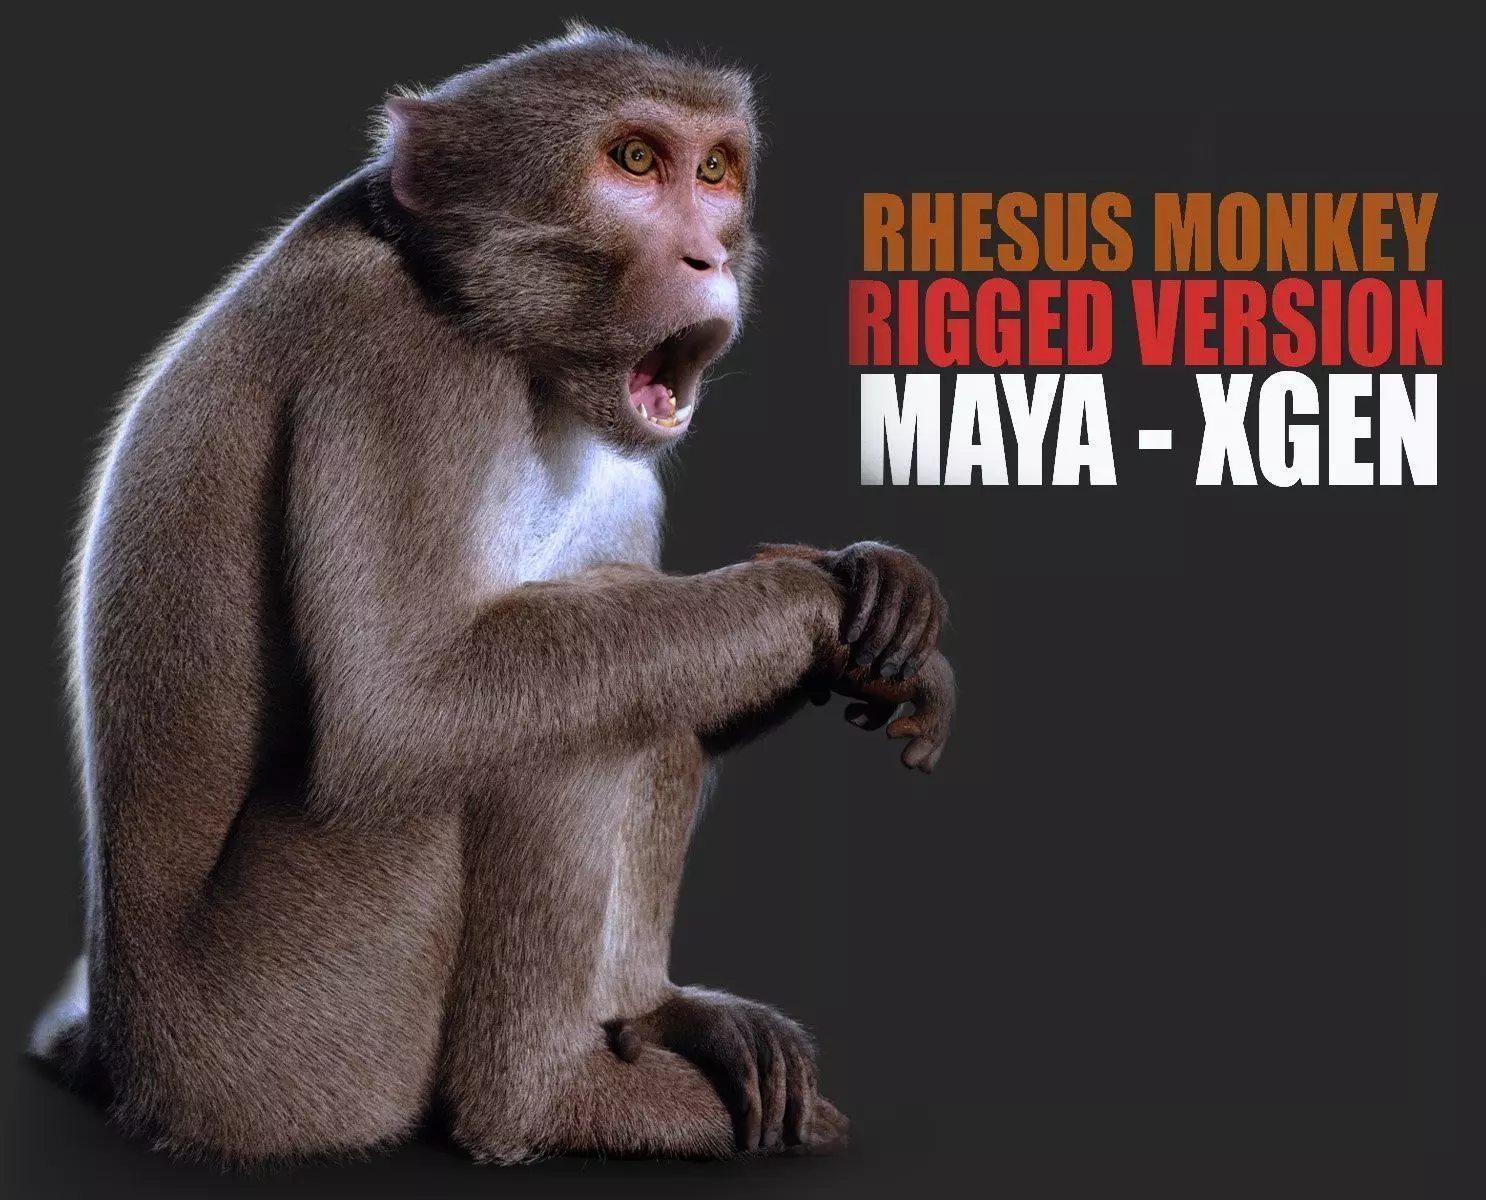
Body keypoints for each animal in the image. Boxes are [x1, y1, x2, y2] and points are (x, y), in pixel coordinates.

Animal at [30, 26, 954, 1166]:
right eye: (635, 162)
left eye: (716, 171)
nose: (706, 255)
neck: (466, 309)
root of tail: (124, 1061)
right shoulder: (391, 363)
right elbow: (404, 706)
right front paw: (812, 602)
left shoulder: (619, 463)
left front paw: (864, 587)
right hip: (285, 1052)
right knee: (539, 732)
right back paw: (546, 1102)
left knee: (638, 681)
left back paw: (648, 1020)